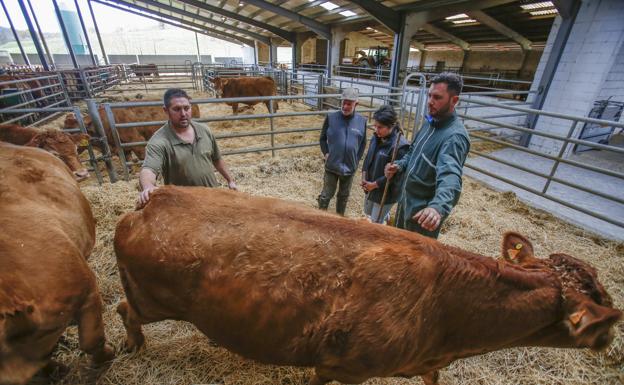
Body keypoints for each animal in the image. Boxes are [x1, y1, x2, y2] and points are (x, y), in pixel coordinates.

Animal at [116, 184, 620, 382]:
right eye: (604, 319)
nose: (610, 341)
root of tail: (156, 197)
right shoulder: (341, 368)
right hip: (151, 299)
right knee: (124, 310)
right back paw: (132, 347)